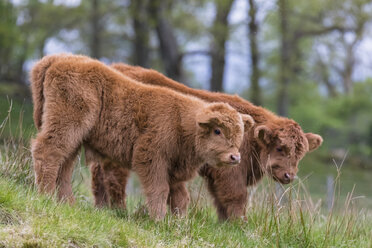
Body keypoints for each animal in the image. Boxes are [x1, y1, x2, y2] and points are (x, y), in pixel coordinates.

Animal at [30, 53, 254, 219]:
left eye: (240, 132)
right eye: (217, 130)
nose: (235, 157)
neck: (182, 120)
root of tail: (57, 59)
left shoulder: (174, 170)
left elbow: (180, 197)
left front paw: (179, 222)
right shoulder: (151, 159)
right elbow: (159, 190)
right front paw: (159, 220)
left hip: (75, 138)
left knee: (64, 165)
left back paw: (67, 203)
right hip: (67, 125)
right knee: (47, 153)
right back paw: (46, 196)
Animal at [87, 63, 322, 220]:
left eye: (300, 155)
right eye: (280, 148)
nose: (289, 176)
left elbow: (220, 200)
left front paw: (225, 223)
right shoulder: (229, 173)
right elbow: (236, 197)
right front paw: (240, 225)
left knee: (98, 174)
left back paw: (102, 207)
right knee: (115, 177)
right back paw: (118, 210)